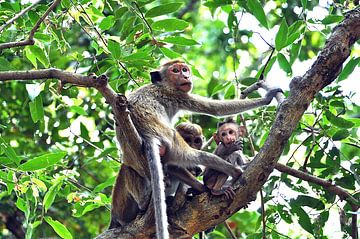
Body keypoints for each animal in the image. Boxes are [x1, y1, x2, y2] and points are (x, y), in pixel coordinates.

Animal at [109, 60, 282, 239]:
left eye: (185, 69)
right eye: (175, 70)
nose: (185, 76)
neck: (162, 85)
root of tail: (148, 136)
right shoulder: (177, 95)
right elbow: (214, 109)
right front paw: (267, 98)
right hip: (171, 138)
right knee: (195, 156)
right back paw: (230, 174)